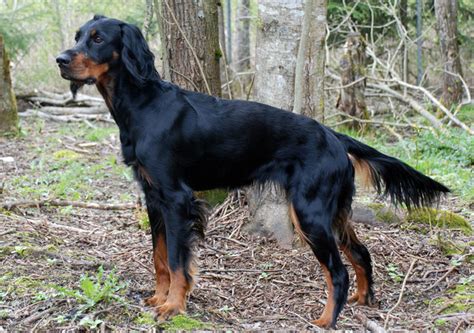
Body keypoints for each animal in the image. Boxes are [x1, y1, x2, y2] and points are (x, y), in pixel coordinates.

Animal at [55, 14, 448, 326]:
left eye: (98, 39)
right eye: (77, 35)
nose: (60, 59)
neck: (144, 104)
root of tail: (333, 135)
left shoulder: (176, 199)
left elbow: (179, 260)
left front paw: (174, 306)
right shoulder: (153, 198)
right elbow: (160, 257)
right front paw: (159, 297)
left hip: (309, 212)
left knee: (337, 271)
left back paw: (326, 320)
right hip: (333, 210)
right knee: (361, 253)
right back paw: (364, 300)